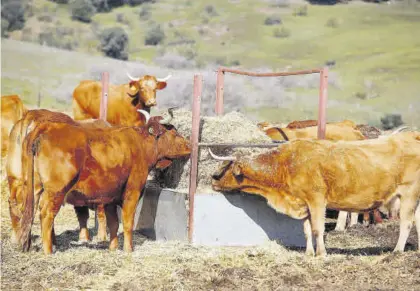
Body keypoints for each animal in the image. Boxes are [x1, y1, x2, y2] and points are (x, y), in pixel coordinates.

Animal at [212, 133, 420, 258]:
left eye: (226, 167)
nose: (212, 179)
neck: (287, 164)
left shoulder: (317, 201)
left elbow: (318, 229)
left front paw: (321, 253)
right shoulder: (303, 204)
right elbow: (306, 230)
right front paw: (309, 253)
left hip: (408, 195)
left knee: (406, 223)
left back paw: (397, 251)